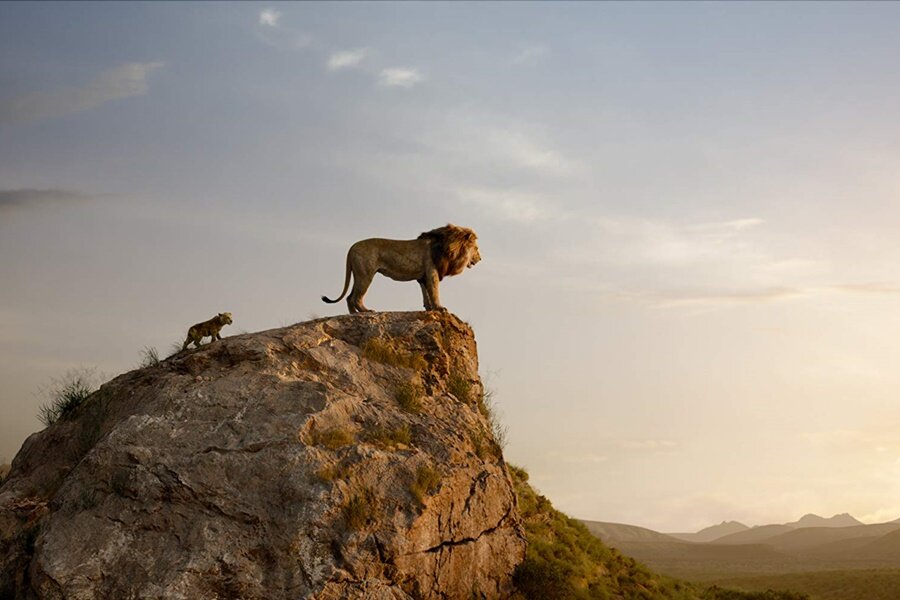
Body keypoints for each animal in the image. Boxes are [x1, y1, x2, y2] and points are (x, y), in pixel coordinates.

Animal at [322, 224, 481, 314]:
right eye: (476, 248)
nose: (480, 259)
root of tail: (351, 247)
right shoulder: (432, 272)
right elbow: (434, 292)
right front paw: (440, 308)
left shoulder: (423, 276)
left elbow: (426, 293)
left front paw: (429, 308)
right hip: (366, 274)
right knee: (355, 297)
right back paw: (366, 311)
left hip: (358, 274)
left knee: (349, 297)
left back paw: (354, 315)